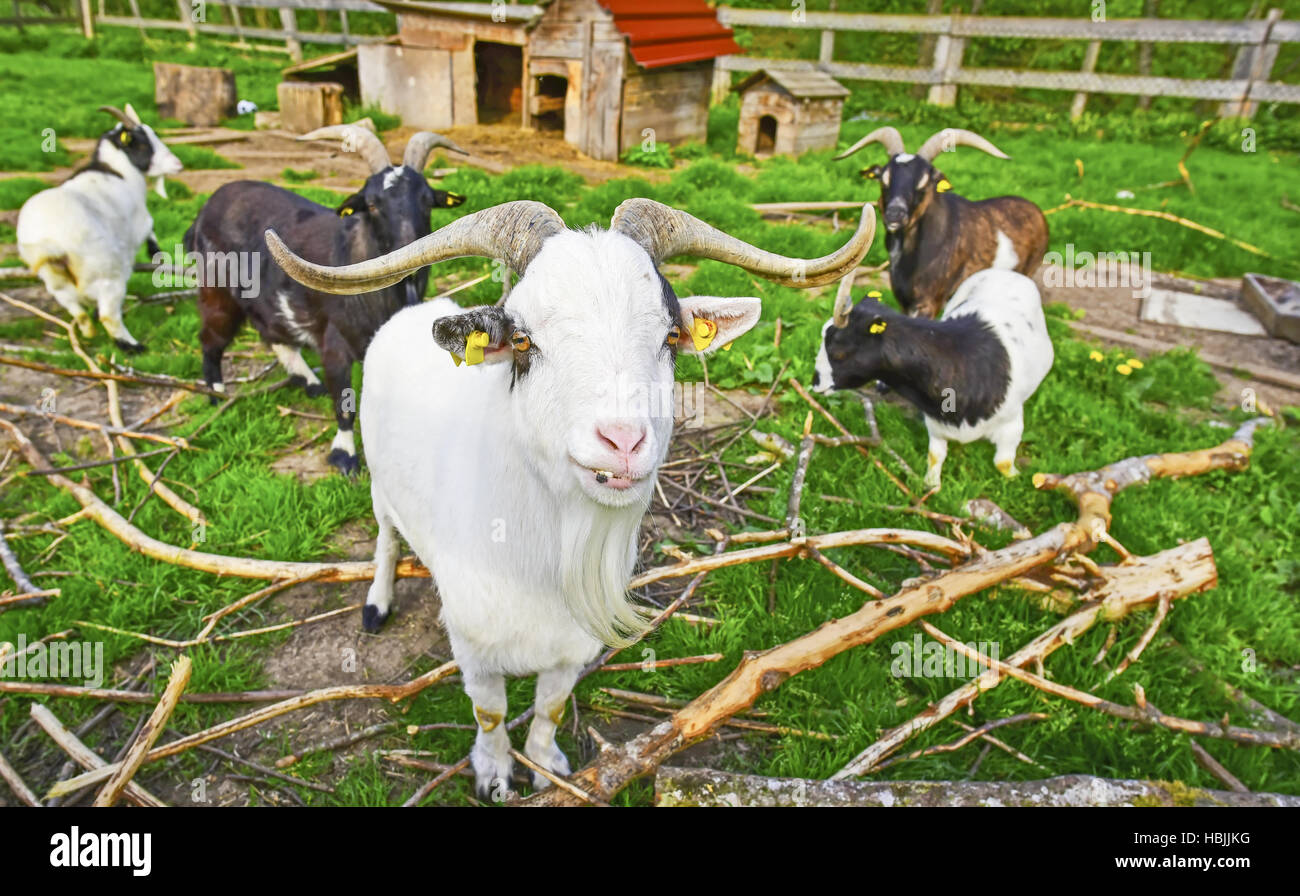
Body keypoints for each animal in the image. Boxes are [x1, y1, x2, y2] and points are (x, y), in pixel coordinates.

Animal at [15, 104, 182, 348]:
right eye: (142, 142)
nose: (178, 164)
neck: (117, 172)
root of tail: (51, 243)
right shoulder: (139, 221)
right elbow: (150, 229)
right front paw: (156, 253)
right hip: (107, 274)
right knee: (109, 315)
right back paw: (133, 347)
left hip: (56, 282)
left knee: (79, 311)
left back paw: (89, 331)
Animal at [185, 126, 465, 475]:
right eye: (372, 204)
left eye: (428, 202)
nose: (410, 246)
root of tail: (204, 210)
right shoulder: (334, 346)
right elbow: (344, 405)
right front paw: (344, 456)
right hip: (217, 293)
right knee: (211, 339)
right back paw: (216, 395)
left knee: (271, 331)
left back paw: (306, 380)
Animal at [811, 267, 1055, 488]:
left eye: (838, 352)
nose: (815, 383)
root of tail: (1006, 272)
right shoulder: (936, 426)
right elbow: (935, 457)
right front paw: (931, 487)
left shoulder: (1011, 423)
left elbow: (1003, 463)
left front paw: (1020, 479)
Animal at [837, 126, 1050, 318]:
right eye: (883, 180)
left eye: (923, 184)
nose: (895, 214)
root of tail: (1036, 210)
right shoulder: (904, 301)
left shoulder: (929, 303)